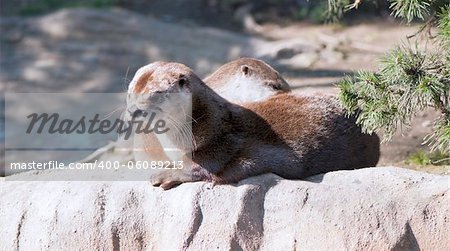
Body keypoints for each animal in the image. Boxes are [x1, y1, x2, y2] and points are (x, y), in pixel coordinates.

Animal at [126, 61, 380, 189]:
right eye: (130, 93)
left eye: (156, 94)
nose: (133, 110)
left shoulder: (227, 143)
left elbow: (205, 166)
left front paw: (167, 174)